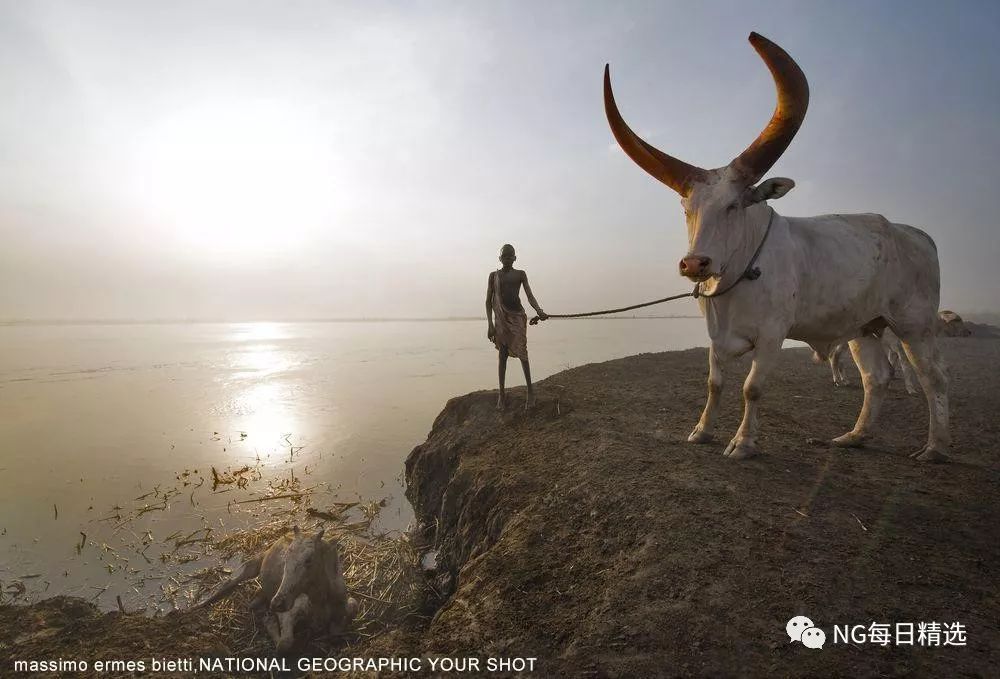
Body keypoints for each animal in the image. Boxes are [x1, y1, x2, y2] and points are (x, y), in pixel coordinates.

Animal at [604, 34, 948, 464]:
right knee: (877, 378)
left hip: (914, 325)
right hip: (863, 327)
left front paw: (743, 443)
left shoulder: (772, 335)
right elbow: (715, 383)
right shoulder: (716, 338)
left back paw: (934, 448)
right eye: (687, 208)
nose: (695, 263)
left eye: (734, 205)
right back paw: (854, 437)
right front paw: (701, 431)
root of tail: (915, 234)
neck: (736, 280)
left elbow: (751, 388)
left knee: (934, 378)